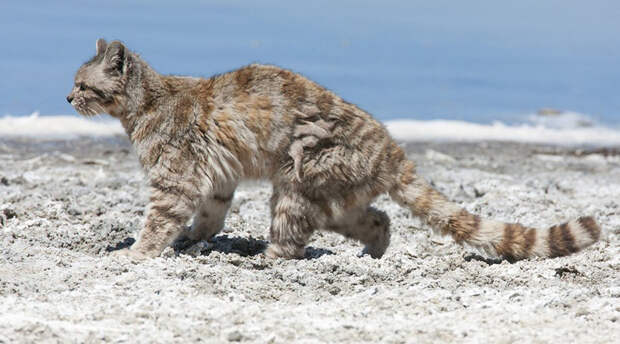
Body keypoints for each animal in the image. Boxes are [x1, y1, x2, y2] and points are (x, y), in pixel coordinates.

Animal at [68, 39, 600, 260]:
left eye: (82, 84)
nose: (67, 98)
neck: (148, 101)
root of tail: (390, 149)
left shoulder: (176, 175)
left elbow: (161, 218)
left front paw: (138, 253)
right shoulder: (216, 177)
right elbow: (211, 211)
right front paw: (194, 237)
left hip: (300, 179)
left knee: (294, 236)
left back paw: (271, 258)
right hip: (336, 195)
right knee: (376, 217)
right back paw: (374, 249)